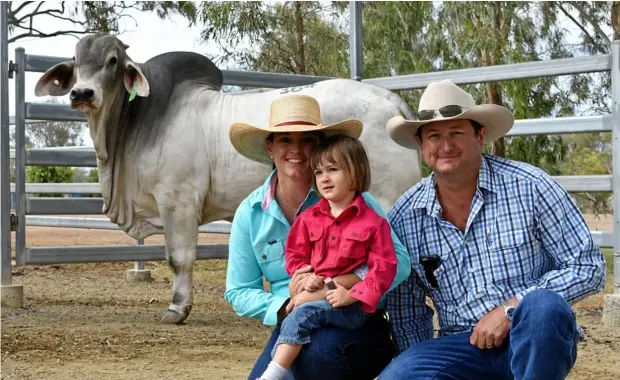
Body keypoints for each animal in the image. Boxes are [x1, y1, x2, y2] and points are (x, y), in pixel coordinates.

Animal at [34, 33, 422, 324]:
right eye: (75, 60)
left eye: (113, 60)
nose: (82, 93)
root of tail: (390, 99)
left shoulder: (177, 202)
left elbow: (179, 258)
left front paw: (177, 308)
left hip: (386, 201)